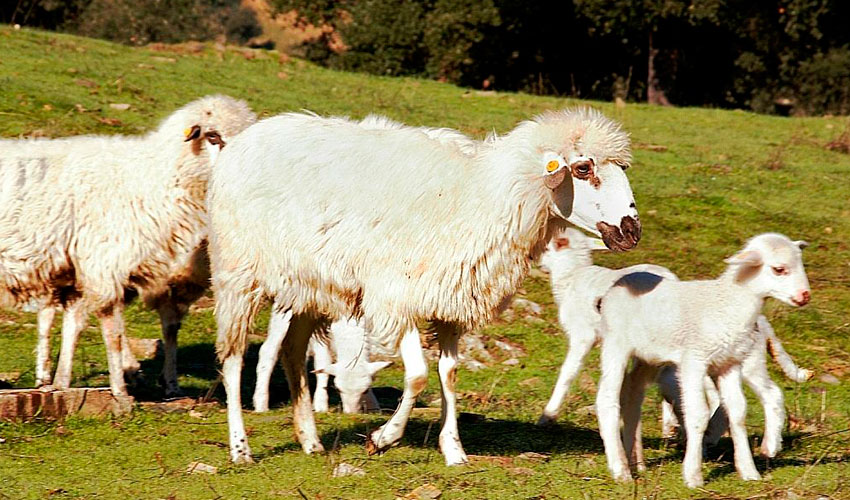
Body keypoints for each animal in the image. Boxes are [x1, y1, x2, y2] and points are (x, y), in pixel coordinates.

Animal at [1, 94, 256, 398]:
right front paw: (120, 390)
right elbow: (113, 330)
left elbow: (75, 323)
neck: (152, 179)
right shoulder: (106, 263)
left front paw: (61, 383)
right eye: (213, 135)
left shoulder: (87, 269)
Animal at [248, 316, 388, 414]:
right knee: (269, 350)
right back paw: (261, 402)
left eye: (365, 390)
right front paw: (321, 403)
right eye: (338, 389)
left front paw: (373, 406)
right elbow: (323, 361)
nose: (351, 413)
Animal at [592, 232, 804, 486]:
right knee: (607, 399)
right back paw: (621, 471)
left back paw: (635, 462)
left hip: (649, 356)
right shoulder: (693, 360)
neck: (728, 304)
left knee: (632, 392)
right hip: (616, 344)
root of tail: (612, 290)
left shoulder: (729, 363)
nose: (805, 296)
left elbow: (738, 412)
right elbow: (698, 413)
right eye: (779, 269)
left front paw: (748, 471)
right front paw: (693, 474)